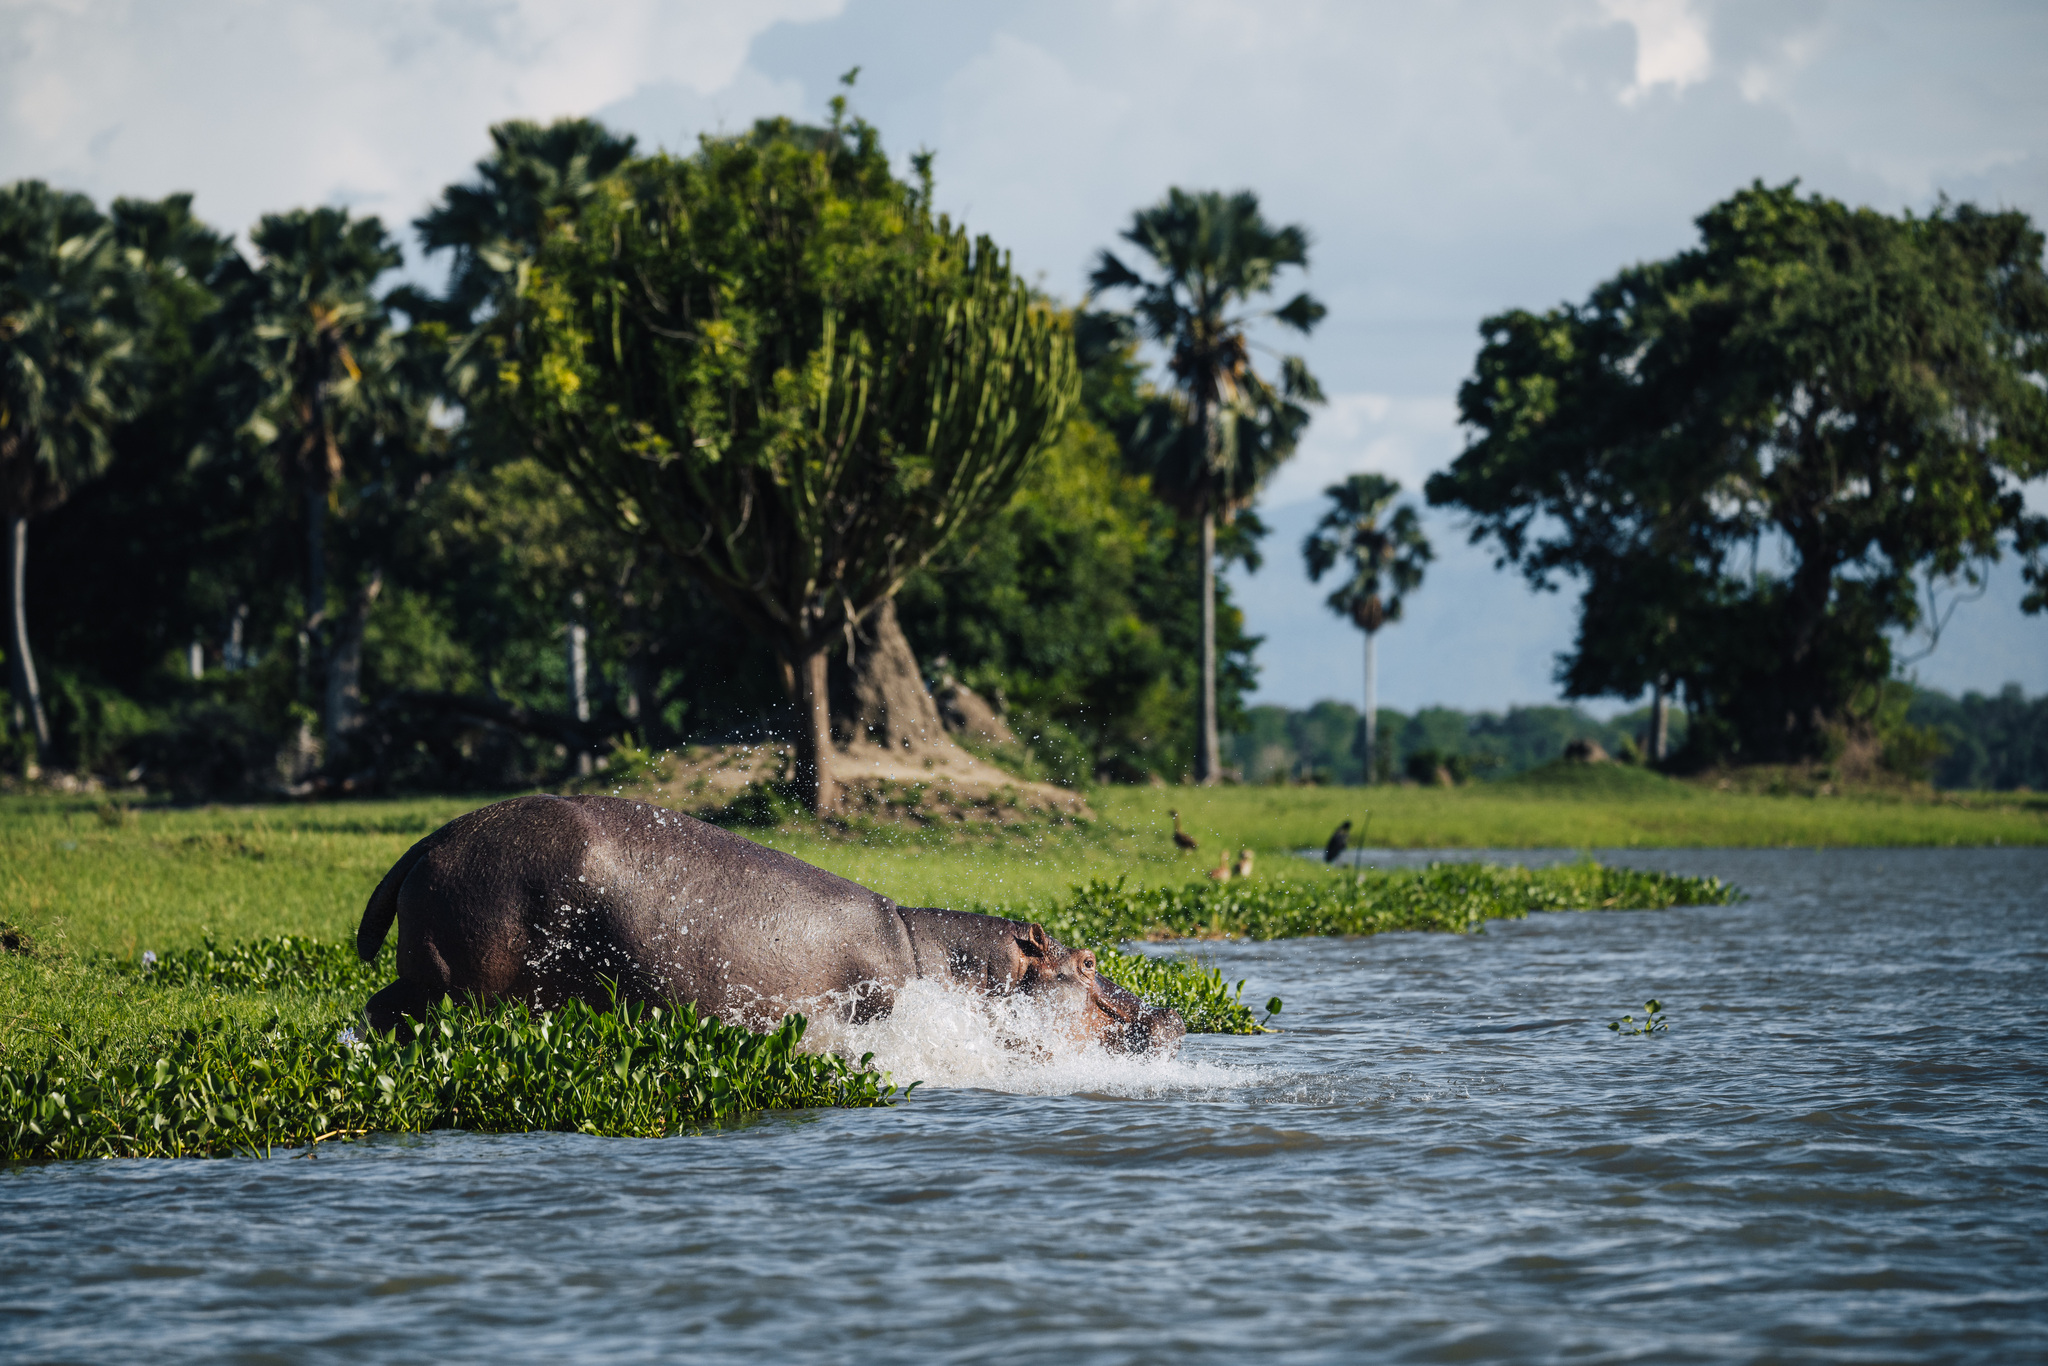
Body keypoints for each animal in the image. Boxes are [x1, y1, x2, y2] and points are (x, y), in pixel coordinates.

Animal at [355, 794, 1183, 1054]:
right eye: (1086, 962)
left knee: (380, 1007)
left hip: (428, 973)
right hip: (466, 982)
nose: (1172, 1016)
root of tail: (434, 837)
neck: (936, 957)